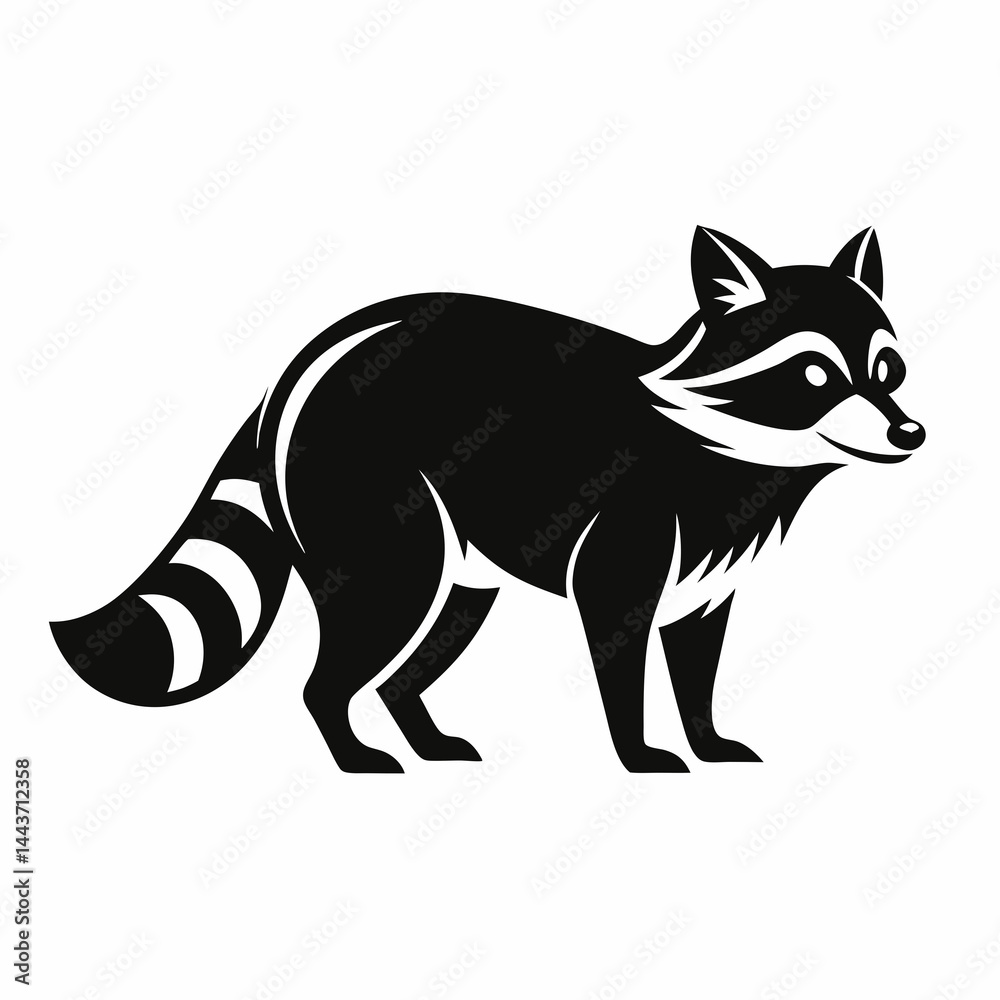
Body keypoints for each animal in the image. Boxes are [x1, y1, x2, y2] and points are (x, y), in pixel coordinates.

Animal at [51, 226, 924, 772]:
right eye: (814, 374)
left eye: (887, 369)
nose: (909, 431)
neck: (738, 452)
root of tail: (303, 365)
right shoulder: (631, 535)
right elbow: (621, 646)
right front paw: (639, 748)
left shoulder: (712, 571)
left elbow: (697, 659)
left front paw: (705, 736)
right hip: (377, 511)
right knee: (357, 642)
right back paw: (350, 743)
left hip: (459, 560)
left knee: (423, 648)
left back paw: (416, 728)